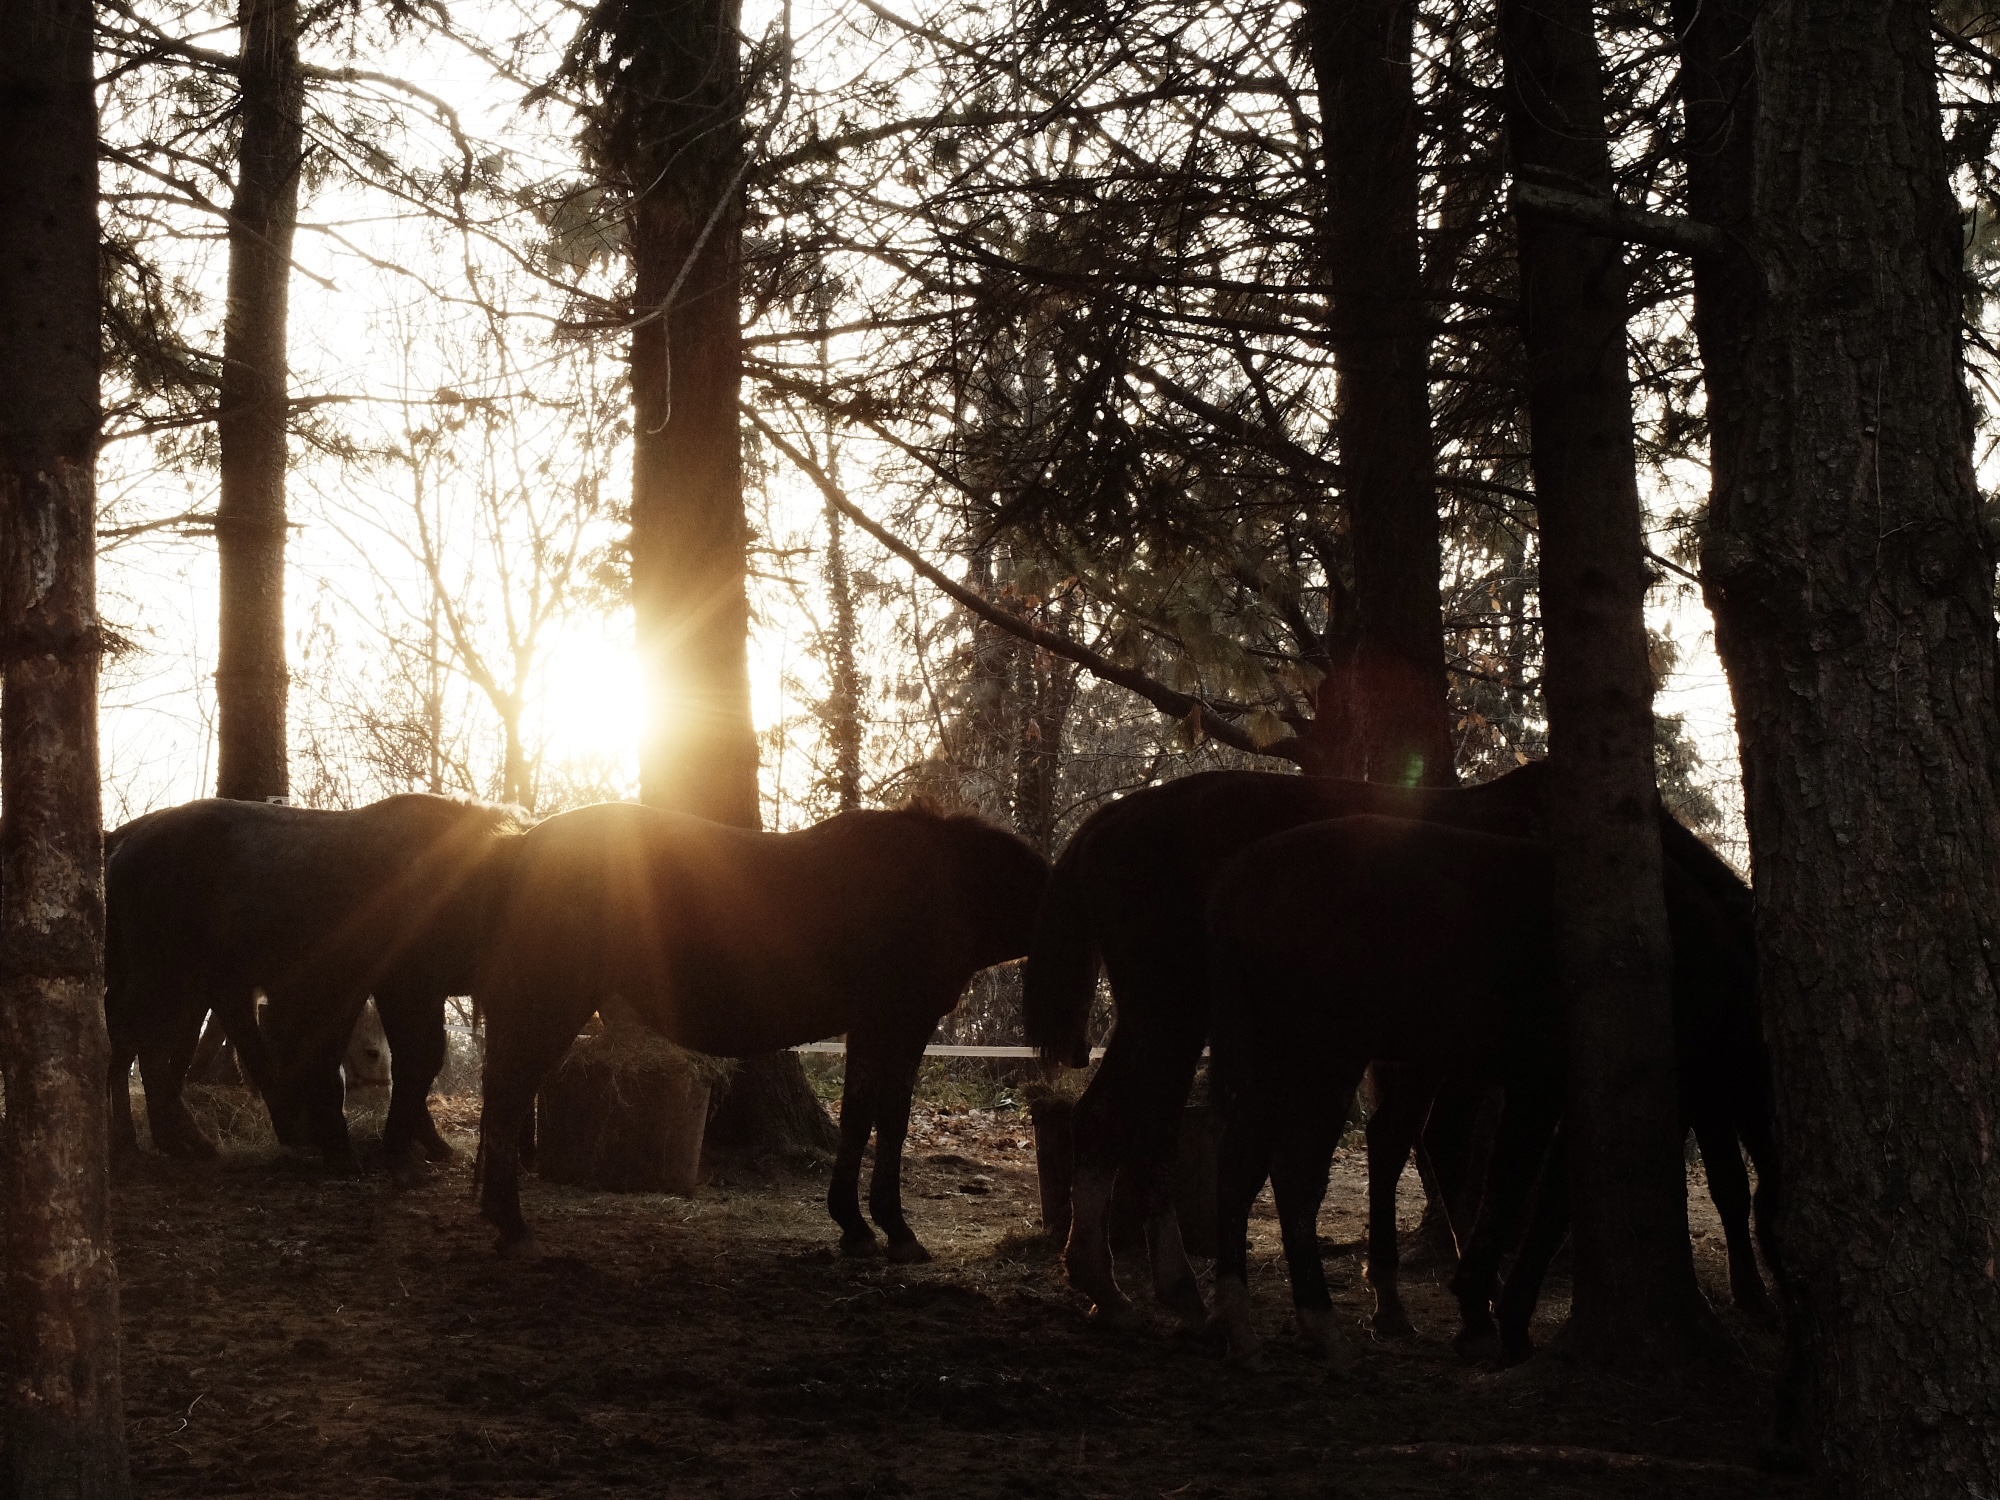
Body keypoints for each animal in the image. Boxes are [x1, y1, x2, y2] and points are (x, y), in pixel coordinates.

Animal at [104, 794, 529, 1169]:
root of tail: (124, 847)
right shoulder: (401, 985)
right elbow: (414, 1061)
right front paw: (394, 1148)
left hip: (179, 983)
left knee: (150, 1047)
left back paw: (180, 1141)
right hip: (161, 974)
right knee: (133, 1043)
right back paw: (135, 1143)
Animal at [471, 801, 1050, 1260]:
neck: (949, 880)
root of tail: (524, 845)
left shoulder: (868, 1027)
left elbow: (857, 1120)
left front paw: (854, 1226)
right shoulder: (903, 1023)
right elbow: (891, 1123)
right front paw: (897, 1232)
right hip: (549, 1005)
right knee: (507, 1100)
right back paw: (514, 1228)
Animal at [1021, 762, 1757, 1330]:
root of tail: (1114, 819)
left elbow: (1412, 1144)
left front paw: (1410, 1294)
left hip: (1163, 1018)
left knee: (1112, 1122)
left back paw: (1111, 1285)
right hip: (1174, 1014)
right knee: (1138, 1128)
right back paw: (1162, 1286)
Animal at [1203, 815, 1780, 1371]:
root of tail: (1235, 878)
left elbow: (1543, 1193)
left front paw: (1489, 1314)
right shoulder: (1551, 1085)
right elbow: (1524, 1189)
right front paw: (1497, 1316)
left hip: (1277, 1061)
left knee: (1244, 1169)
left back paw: (1245, 1328)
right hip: (1325, 1061)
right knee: (1297, 1173)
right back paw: (1323, 1325)